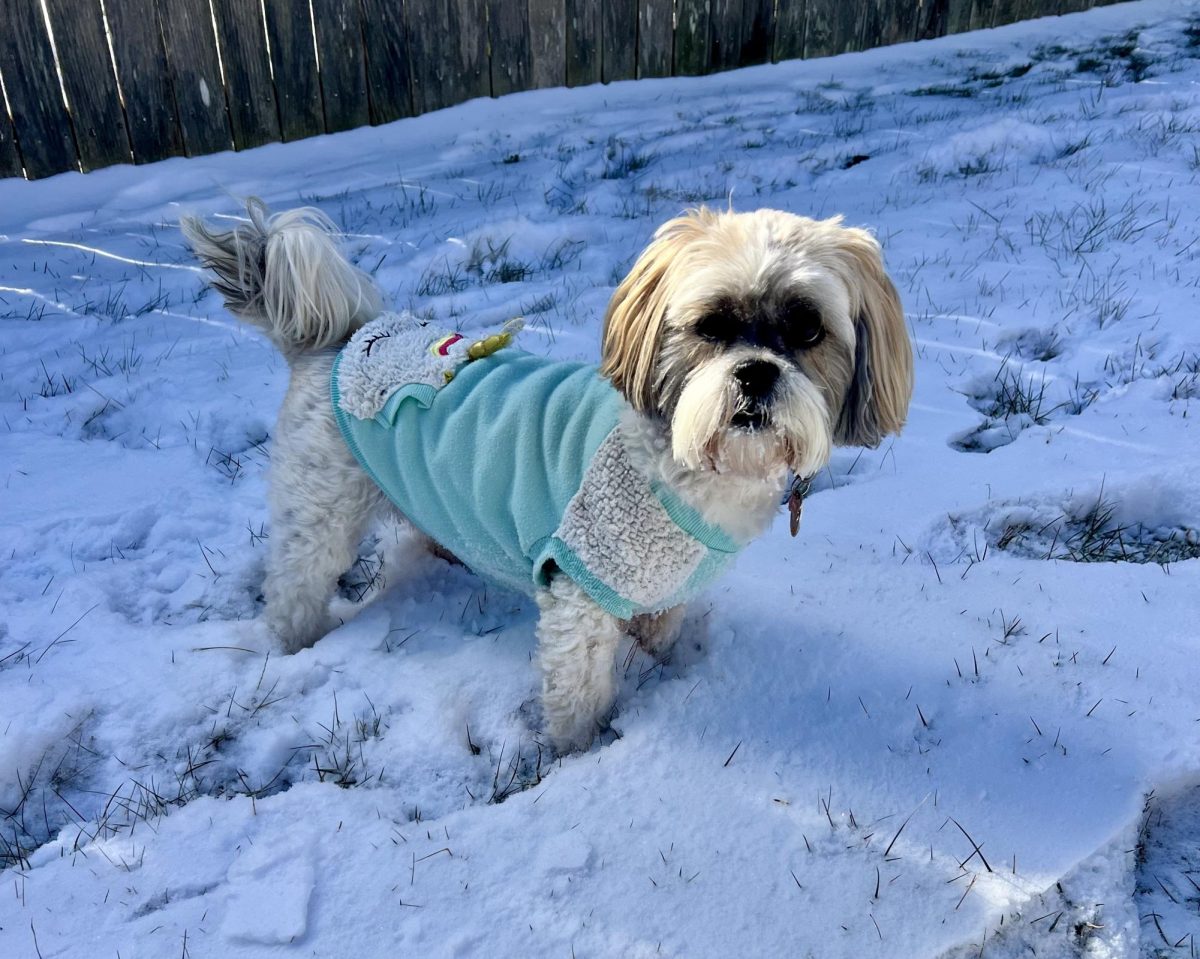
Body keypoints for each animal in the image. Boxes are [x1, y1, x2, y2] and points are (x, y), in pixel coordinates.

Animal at [180, 202, 907, 748]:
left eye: (808, 328)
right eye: (711, 324)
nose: (756, 373)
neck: (683, 458)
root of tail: (344, 337)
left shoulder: (665, 589)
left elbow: (658, 629)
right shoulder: (579, 585)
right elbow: (579, 688)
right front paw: (578, 752)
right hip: (321, 510)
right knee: (296, 584)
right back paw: (296, 642)